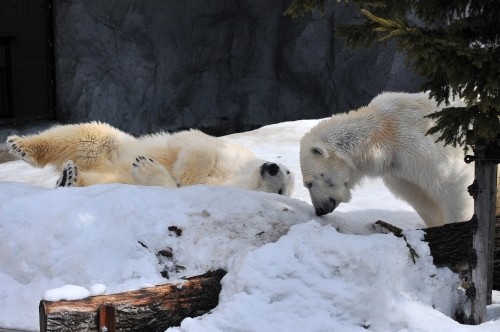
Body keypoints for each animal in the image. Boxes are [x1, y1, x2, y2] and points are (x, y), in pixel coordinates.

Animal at [6, 122, 292, 196]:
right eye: (288, 171)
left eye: (281, 191)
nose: (272, 167)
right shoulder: (235, 153)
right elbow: (200, 145)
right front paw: (184, 172)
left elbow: (176, 188)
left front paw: (150, 169)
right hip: (112, 146)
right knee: (89, 136)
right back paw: (20, 146)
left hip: (109, 173)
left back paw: (69, 178)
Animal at [298, 92, 498, 227]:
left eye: (309, 183)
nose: (319, 210)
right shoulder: (400, 172)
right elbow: (422, 199)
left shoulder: (426, 148)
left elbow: (454, 186)